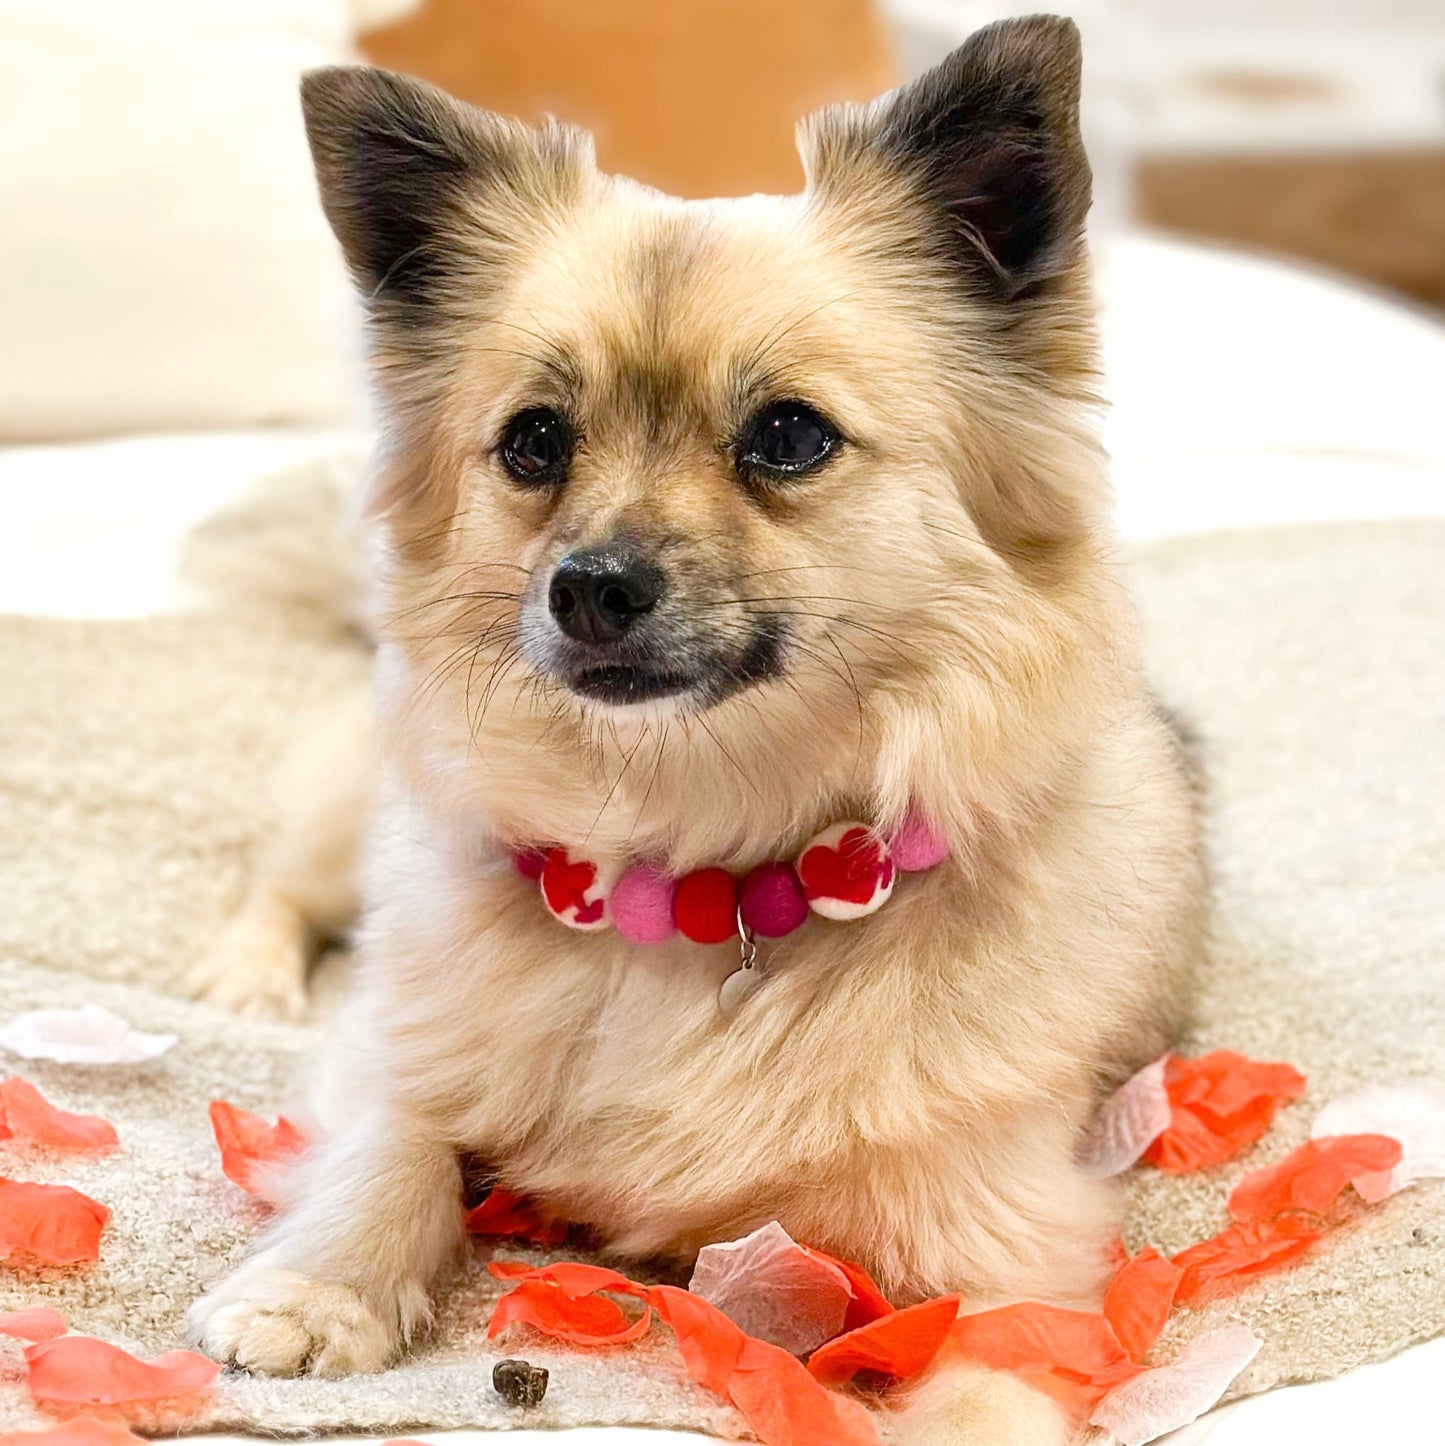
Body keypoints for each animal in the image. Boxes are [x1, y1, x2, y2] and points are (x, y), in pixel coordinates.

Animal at [192, 16, 1209, 1440]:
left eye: (786, 435)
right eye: (533, 443)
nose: (588, 587)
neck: (699, 859)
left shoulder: (1010, 1266)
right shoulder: (398, 1048)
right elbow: (388, 1142)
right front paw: (315, 1288)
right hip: (355, 813)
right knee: (288, 886)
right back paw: (246, 971)